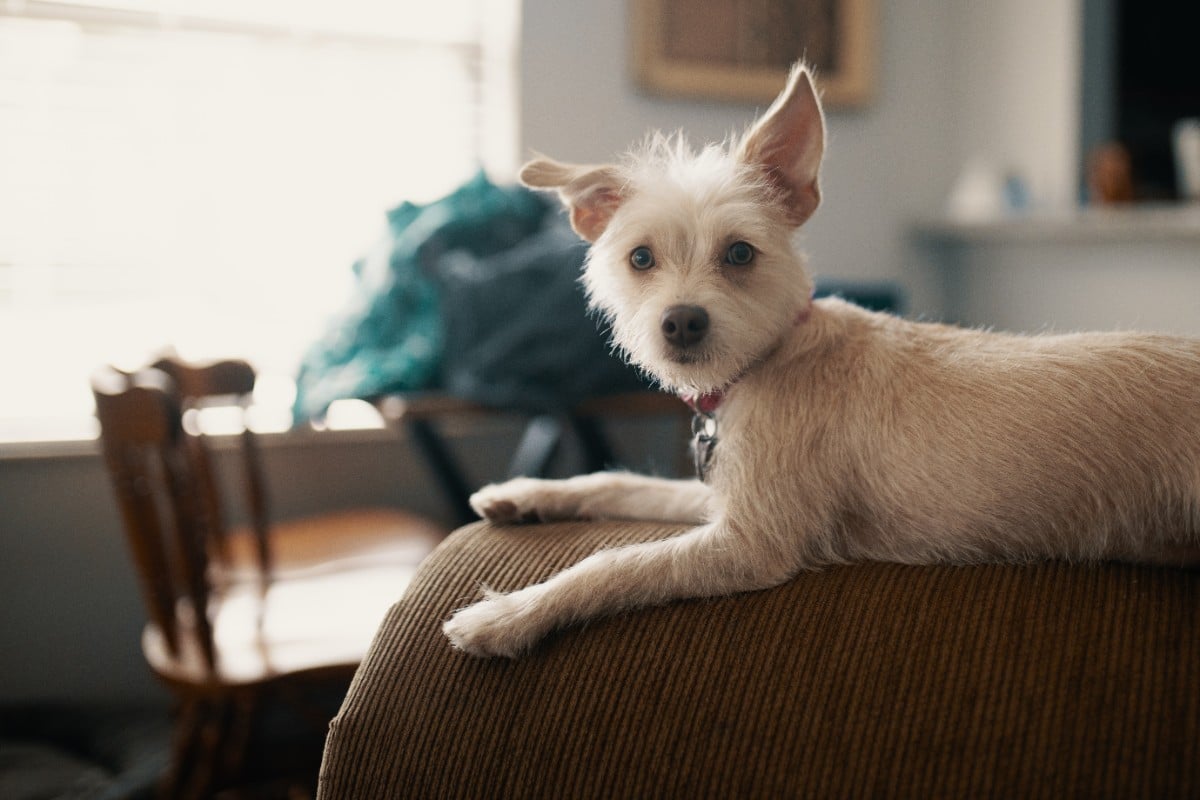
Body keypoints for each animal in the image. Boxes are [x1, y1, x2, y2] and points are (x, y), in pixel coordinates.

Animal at [441, 65, 1200, 662]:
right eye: (640, 258)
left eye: (740, 254)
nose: (681, 322)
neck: (771, 358)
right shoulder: (726, 496)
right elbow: (624, 483)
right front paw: (530, 493)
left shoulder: (749, 542)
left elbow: (613, 563)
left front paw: (509, 615)